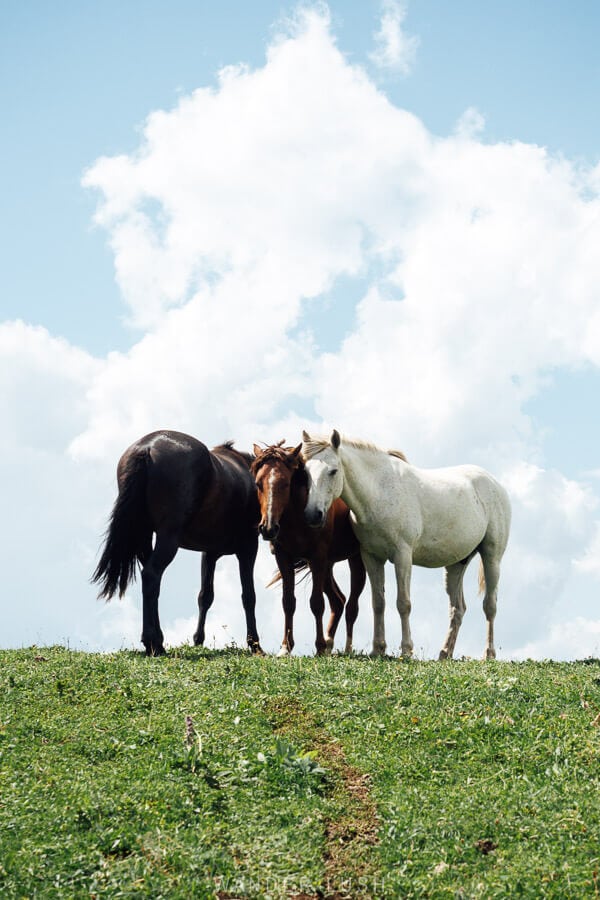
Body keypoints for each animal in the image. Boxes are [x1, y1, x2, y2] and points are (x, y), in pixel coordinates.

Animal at [92, 430, 262, 656]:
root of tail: (146, 447)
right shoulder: (248, 548)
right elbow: (249, 596)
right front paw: (255, 645)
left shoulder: (209, 554)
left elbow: (205, 596)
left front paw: (198, 640)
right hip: (168, 539)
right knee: (152, 575)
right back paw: (153, 642)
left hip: (146, 537)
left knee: (152, 582)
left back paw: (157, 642)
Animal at [250, 442, 366, 656]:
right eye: (258, 484)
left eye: (286, 484)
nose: (268, 528)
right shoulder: (284, 558)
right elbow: (288, 602)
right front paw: (286, 647)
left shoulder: (317, 557)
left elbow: (317, 603)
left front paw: (319, 647)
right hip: (327, 565)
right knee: (338, 601)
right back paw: (329, 643)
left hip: (355, 559)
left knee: (352, 606)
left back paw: (345, 648)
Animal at [301, 430, 511, 660]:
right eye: (305, 472)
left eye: (333, 471)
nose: (313, 515)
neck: (379, 492)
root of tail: (494, 483)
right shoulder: (371, 557)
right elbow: (378, 603)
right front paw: (378, 649)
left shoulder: (402, 555)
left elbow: (403, 603)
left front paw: (406, 649)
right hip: (457, 565)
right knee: (457, 609)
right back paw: (445, 653)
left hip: (492, 557)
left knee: (490, 605)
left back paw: (488, 654)